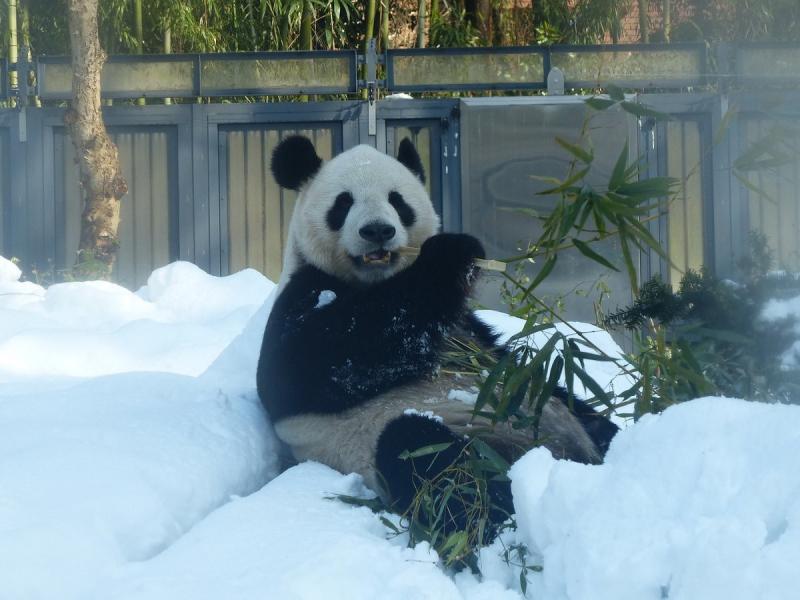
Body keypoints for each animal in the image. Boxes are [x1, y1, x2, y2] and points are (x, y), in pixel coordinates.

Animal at [256, 136, 620, 528]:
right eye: (343, 202)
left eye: (397, 201)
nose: (377, 231)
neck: (375, 281)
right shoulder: (303, 294)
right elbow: (320, 360)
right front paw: (452, 252)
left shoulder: (468, 326)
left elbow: (518, 364)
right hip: (434, 438)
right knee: (428, 461)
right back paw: (499, 515)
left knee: (592, 421)